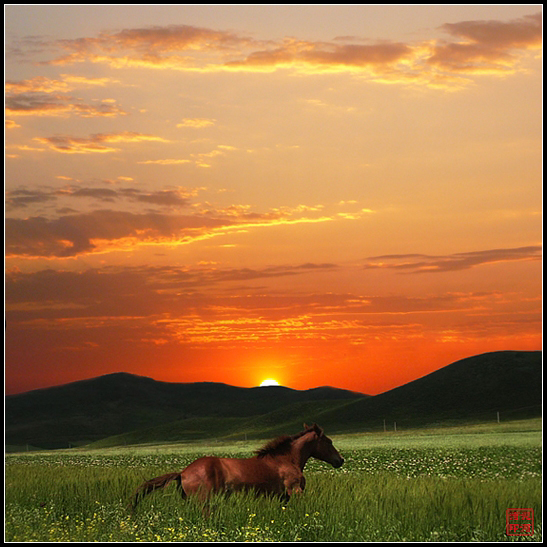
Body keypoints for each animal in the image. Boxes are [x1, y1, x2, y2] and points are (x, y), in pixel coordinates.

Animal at [128, 424, 342, 512]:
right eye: (329, 441)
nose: (340, 461)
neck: (286, 460)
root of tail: (183, 472)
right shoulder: (295, 491)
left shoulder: (282, 497)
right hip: (203, 502)